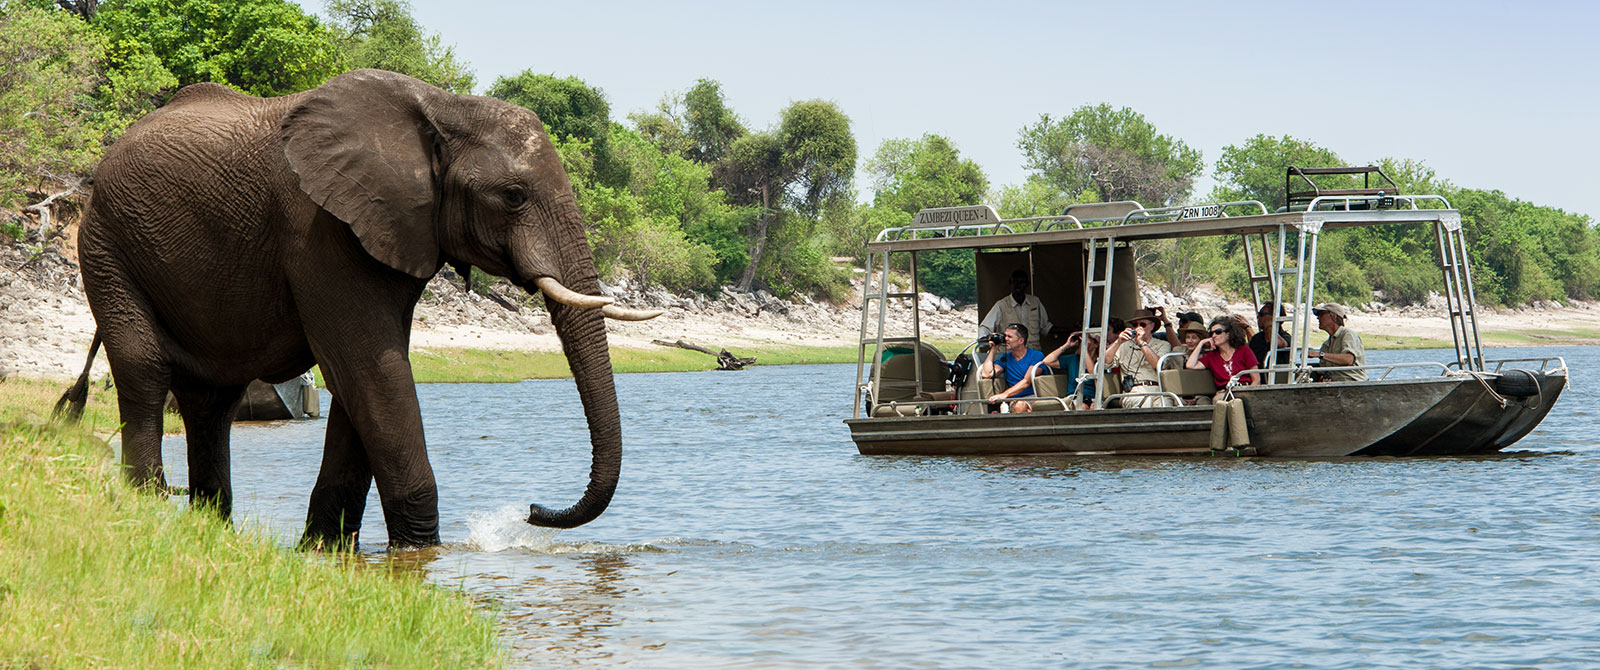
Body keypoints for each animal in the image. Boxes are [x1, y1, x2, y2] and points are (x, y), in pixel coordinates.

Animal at [56, 69, 656, 550]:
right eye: (514, 196)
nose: (531, 511)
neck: (443, 108)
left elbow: (360, 380)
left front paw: (324, 547)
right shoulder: (320, 228)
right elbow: (371, 370)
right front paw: (419, 551)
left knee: (212, 402)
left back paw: (210, 527)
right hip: (105, 243)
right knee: (144, 367)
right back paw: (150, 507)